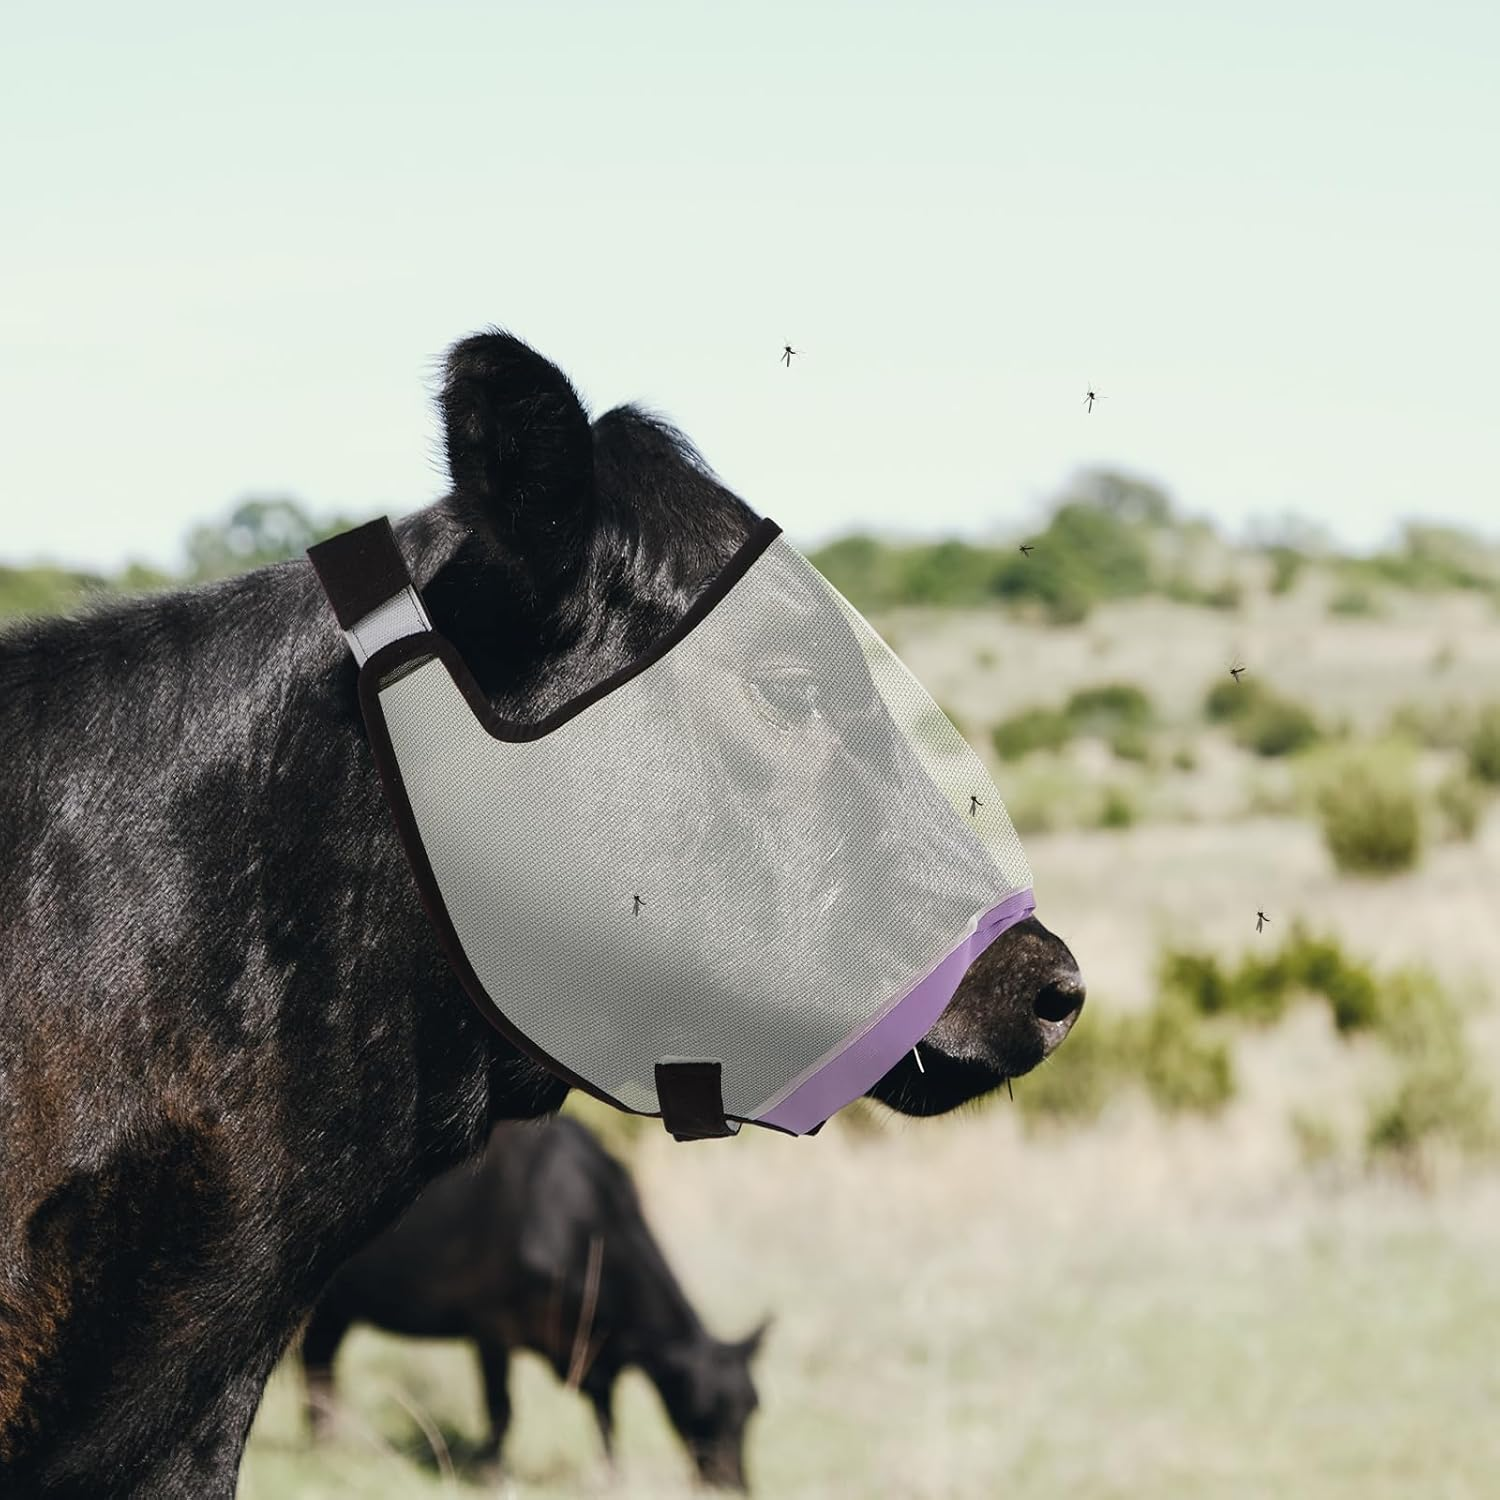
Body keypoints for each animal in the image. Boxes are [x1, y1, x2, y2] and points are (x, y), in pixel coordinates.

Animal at [300, 1116, 767, 1489]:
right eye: (704, 1408)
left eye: (752, 1408)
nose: (735, 1484)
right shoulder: (491, 1324)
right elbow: (501, 1409)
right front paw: (493, 1474)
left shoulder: (599, 1350)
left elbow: (606, 1416)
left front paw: (612, 1476)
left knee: (319, 1362)